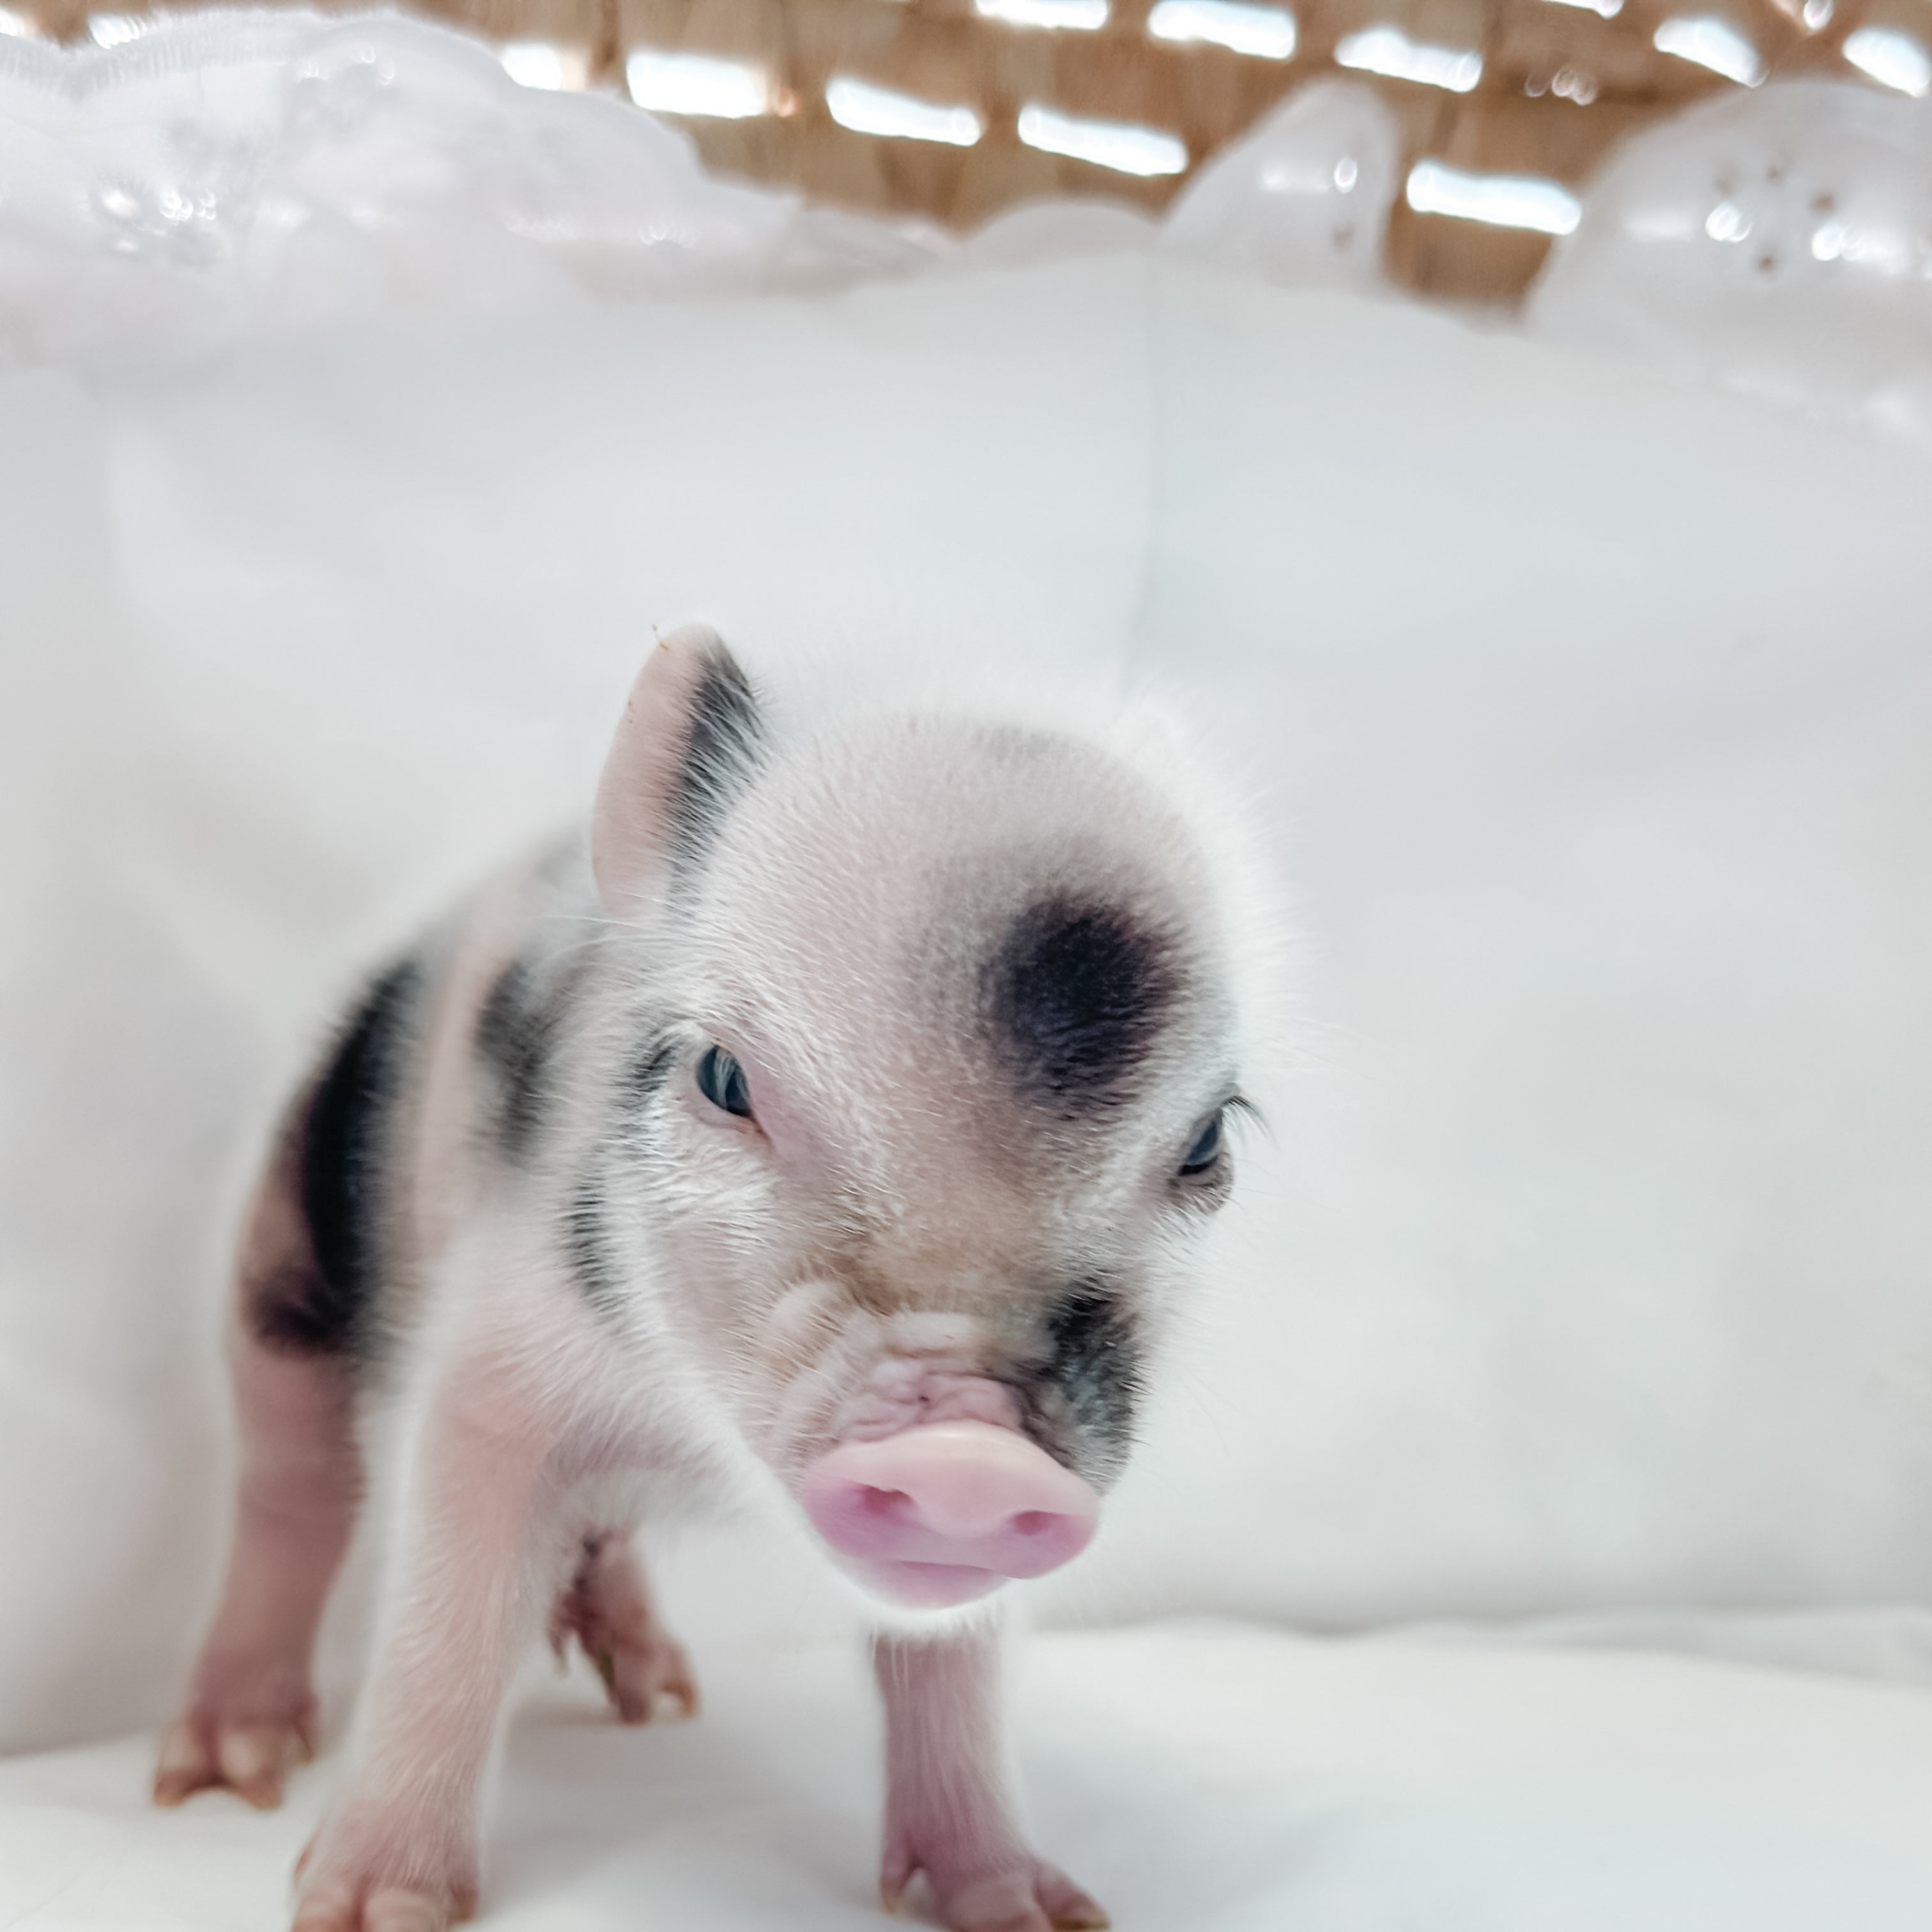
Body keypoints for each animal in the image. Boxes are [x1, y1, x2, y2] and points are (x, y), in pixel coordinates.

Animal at [152, 627, 1260, 1932]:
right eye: (724, 1076)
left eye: (1206, 1142)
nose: (971, 1451)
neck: (691, 1436)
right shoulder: (490, 1356)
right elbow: (449, 1617)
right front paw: (370, 1908)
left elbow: (954, 1665)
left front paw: (1030, 1910)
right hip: (282, 1248)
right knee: (290, 1484)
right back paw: (223, 1772)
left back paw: (656, 1695)